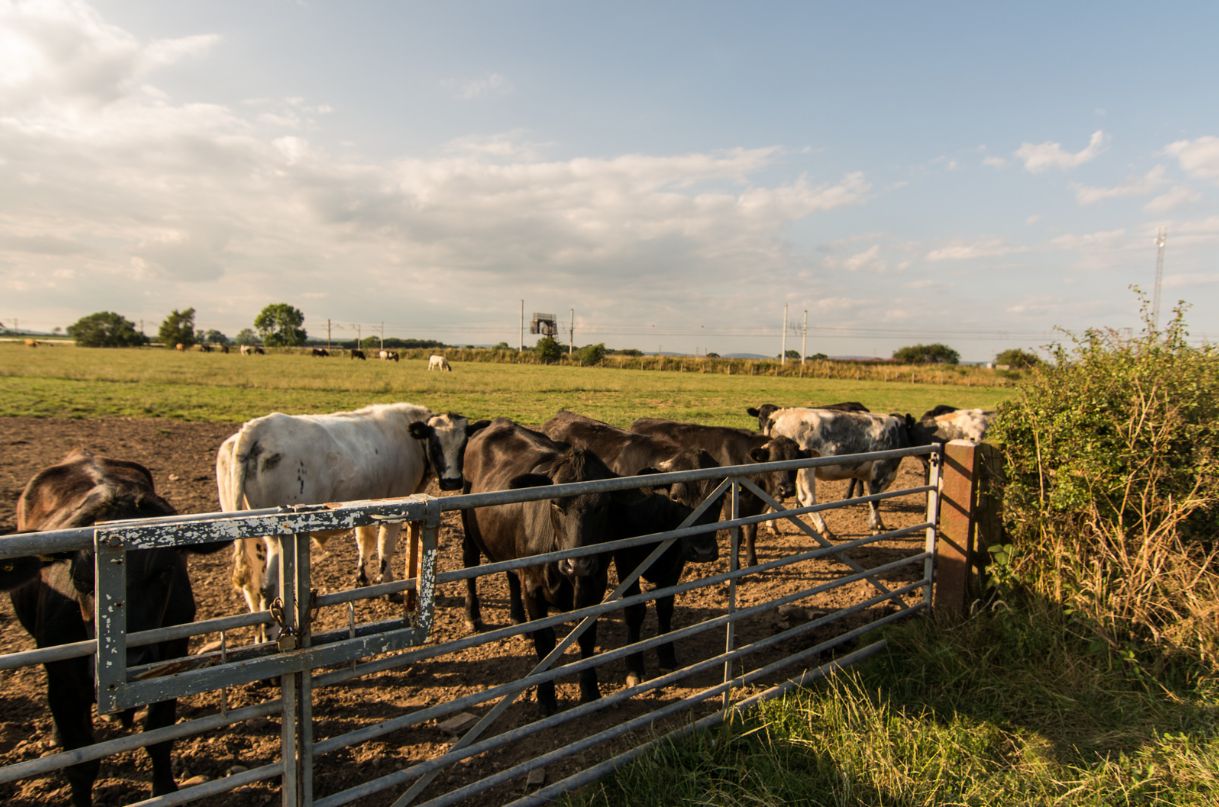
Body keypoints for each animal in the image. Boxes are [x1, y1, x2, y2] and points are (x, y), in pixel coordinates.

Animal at [1, 451, 229, 804]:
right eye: (81, 580)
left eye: (165, 571)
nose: (132, 662)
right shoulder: (64, 680)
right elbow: (80, 763)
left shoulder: (171, 659)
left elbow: (160, 733)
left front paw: (165, 789)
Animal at [458, 419, 707, 711]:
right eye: (555, 502)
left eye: (603, 504)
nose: (577, 564)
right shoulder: (533, 587)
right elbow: (545, 641)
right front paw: (546, 700)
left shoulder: (593, 584)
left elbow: (586, 636)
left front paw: (590, 689)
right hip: (470, 531)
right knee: (470, 562)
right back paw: (473, 616)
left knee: (510, 574)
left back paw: (518, 619)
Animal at [629, 419, 809, 565]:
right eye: (773, 460)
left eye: (795, 461)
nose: (786, 489)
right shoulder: (730, 501)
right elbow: (736, 535)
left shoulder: (753, 506)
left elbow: (751, 532)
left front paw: (752, 561)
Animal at [760, 412, 931, 536]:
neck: (896, 432)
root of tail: (779, 415)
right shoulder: (880, 471)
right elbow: (875, 499)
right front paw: (876, 525)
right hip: (804, 470)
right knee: (807, 498)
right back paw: (824, 528)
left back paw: (772, 526)